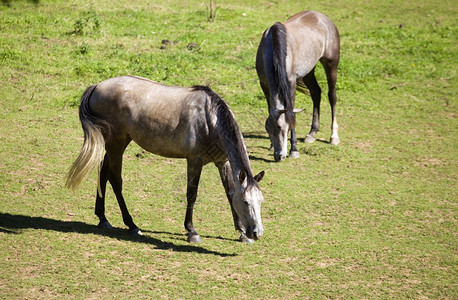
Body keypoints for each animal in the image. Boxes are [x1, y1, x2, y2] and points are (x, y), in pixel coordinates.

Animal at [65, 75, 264, 244]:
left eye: (260, 201)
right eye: (245, 202)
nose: (257, 233)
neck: (210, 119)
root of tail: (96, 86)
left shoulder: (223, 162)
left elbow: (229, 192)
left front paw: (240, 231)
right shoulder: (194, 161)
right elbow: (191, 194)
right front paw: (191, 231)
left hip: (119, 143)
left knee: (103, 172)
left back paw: (103, 219)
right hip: (116, 143)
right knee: (115, 180)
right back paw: (132, 225)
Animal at [256, 10, 342, 162]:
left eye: (281, 127)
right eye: (268, 129)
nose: (279, 156)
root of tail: (323, 17)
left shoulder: (291, 84)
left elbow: (291, 113)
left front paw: (294, 150)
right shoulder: (264, 84)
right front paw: (271, 145)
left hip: (331, 64)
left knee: (332, 96)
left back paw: (334, 136)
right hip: (308, 71)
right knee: (316, 93)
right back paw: (312, 133)